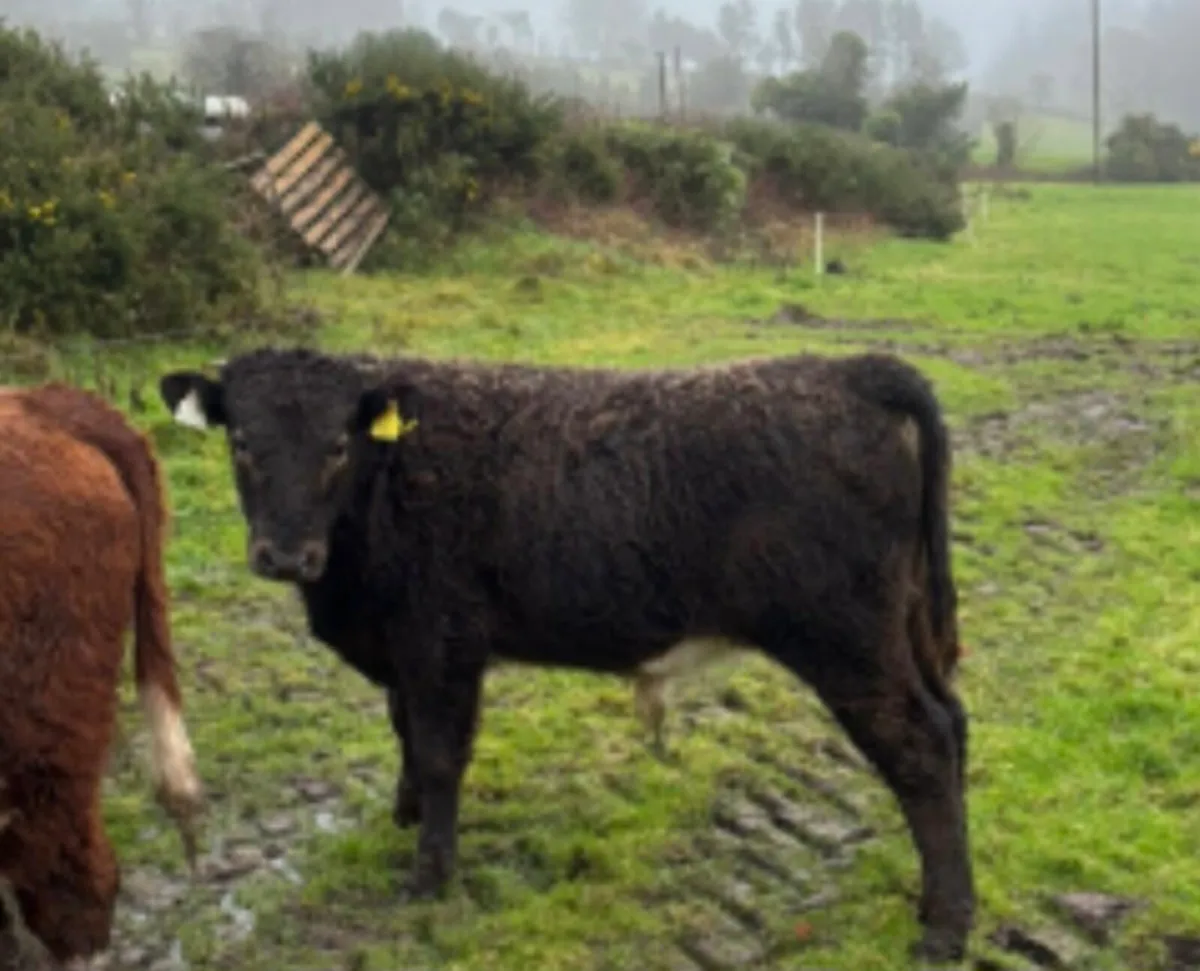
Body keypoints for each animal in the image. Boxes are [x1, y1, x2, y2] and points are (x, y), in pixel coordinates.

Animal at [158, 346, 972, 962]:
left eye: (336, 445)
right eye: (241, 442)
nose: (285, 555)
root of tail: (850, 368)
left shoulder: (441, 642)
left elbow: (439, 752)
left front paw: (430, 872)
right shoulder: (403, 651)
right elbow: (405, 733)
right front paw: (404, 815)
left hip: (846, 643)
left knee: (921, 747)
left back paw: (945, 928)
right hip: (904, 628)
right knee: (954, 723)